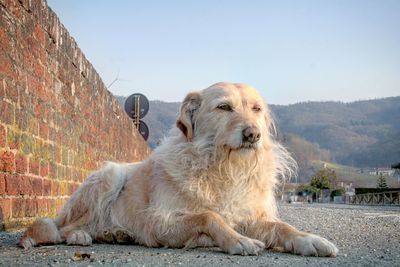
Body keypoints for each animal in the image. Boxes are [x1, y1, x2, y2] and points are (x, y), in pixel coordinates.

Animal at [18, 83, 338, 258]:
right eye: (224, 107)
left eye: (256, 109)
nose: (253, 134)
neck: (221, 168)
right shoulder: (159, 223)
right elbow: (208, 216)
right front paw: (237, 240)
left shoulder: (248, 214)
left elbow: (281, 226)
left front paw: (309, 239)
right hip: (109, 176)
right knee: (64, 226)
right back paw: (82, 236)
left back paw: (114, 233)